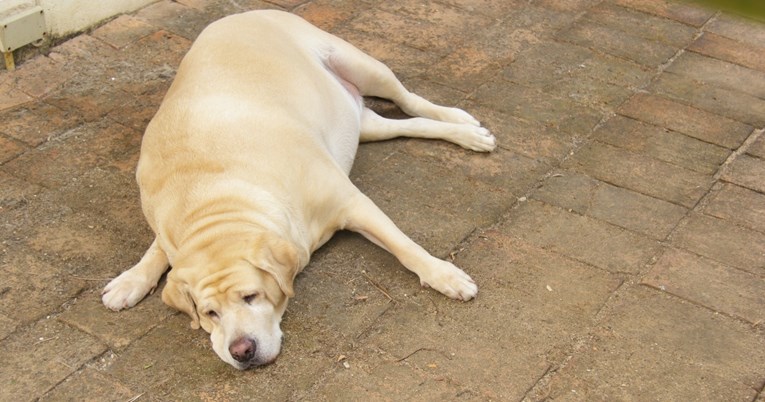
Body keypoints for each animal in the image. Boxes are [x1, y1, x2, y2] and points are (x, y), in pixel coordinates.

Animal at [101, 8, 492, 370]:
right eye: (210, 313)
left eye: (251, 296)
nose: (241, 351)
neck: (213, 199)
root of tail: (241, 12)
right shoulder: (173, 229)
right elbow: (157, 250)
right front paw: (131, 280)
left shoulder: (352, 203)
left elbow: (404, 246)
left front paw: (444, 275)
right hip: (363, 124)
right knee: (407, 125)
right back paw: (465, 133)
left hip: (363, 65)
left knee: (410, 100)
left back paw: (463, 123)